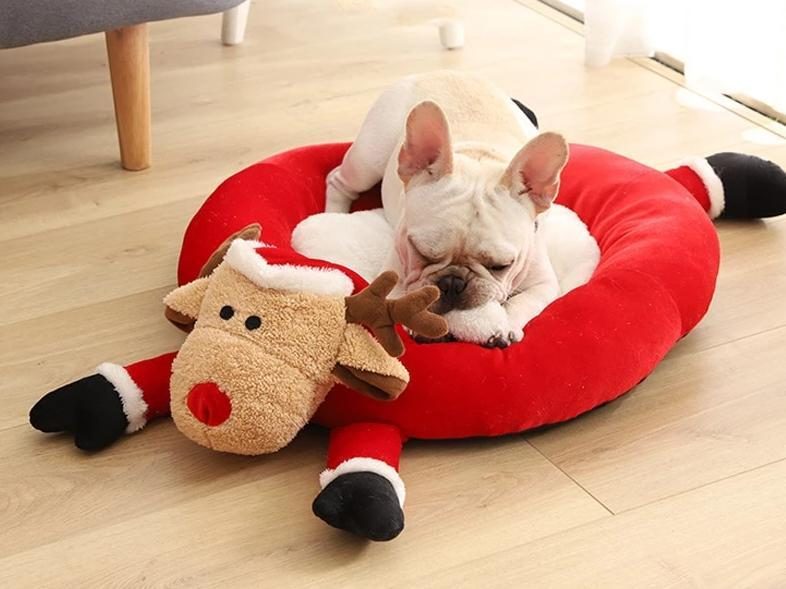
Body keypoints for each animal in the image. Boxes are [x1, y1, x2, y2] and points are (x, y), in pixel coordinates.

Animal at [298, 70, 596, 344]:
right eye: (421, 252)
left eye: (501, 266)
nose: (453, 283)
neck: (479, 155)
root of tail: (441, 72)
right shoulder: (397, 265)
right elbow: (398, 291)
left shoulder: (542, 280)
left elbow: (524, 301)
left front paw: (506, 325)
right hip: (368, 160)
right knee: (338, 180)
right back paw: (333, 213)